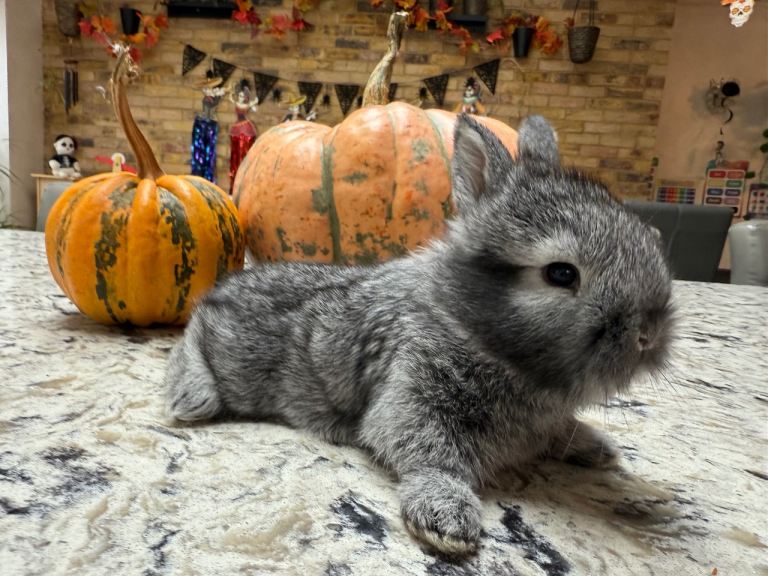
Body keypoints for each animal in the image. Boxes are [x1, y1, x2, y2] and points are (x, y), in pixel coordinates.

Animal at [166, 114, 674, 555]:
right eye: (562, 273)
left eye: (648, 237)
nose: (647, 335)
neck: (469, 325)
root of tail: (223, 290)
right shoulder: (412, 397)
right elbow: (430, 456)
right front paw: (447, 518)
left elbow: (558, 432)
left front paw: (599, 448)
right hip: (234, 362)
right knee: (190, 339)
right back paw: (190, 397)